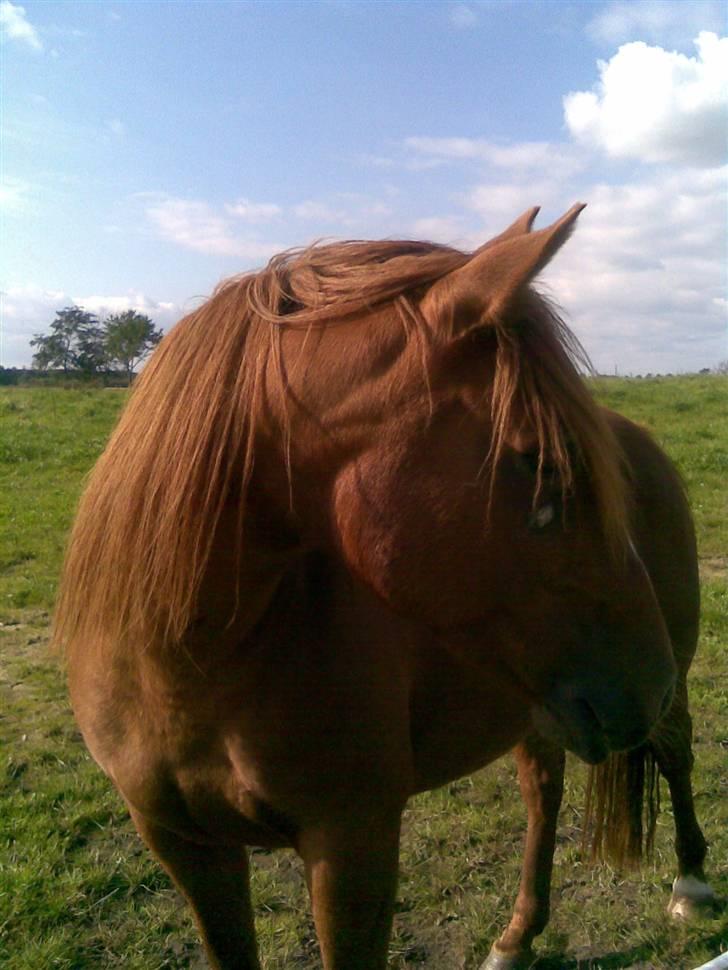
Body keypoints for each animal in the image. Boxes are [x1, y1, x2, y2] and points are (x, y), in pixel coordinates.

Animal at [54, 200, 680, 964]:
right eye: (536, 460)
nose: (650, 681)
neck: (182, 670)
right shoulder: (185, 847)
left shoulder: (353, 845)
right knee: (544, 792)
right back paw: (516, 935)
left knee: (678, 756)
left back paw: (693, 887)